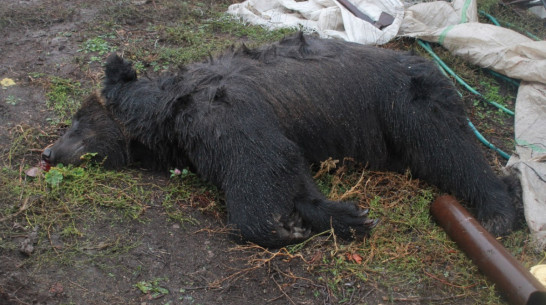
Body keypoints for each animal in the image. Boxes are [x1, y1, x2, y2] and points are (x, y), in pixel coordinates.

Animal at [42, 33, 520, 247]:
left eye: (76, 122)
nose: (47, 152)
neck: (164, 117)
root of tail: (429, 66)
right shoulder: (237, 134)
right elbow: (292, 169)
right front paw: (340, 215)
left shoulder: (224, 115)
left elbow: (261, 162)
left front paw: (278, 226)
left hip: (407, 107)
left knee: (449, 152)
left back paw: (497, 210)